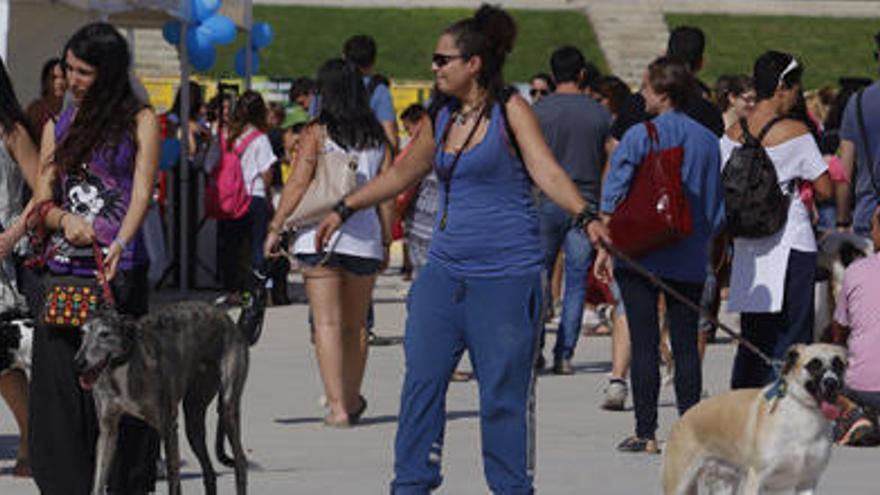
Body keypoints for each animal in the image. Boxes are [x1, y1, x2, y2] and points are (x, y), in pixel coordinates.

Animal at [668, 344, 844, 495]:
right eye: (814, 365)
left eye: (839, 365)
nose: (831, 382)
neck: (803, 412)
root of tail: (684, 417)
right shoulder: (756, 479)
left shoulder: (808, 481)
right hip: (678, 485)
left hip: (724, 484)